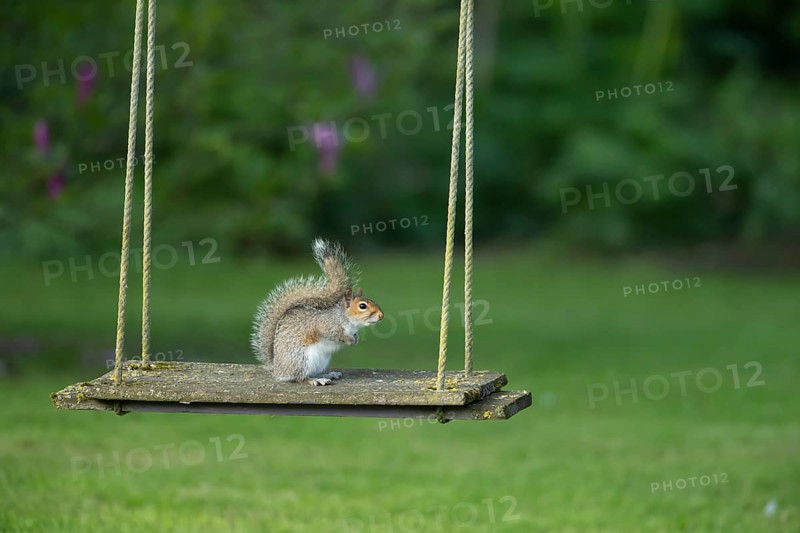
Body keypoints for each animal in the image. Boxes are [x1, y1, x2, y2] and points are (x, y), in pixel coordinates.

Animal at [251, 238, 384, 386]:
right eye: (362, 306)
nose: (381, 315)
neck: (347, 320)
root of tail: (278, 369)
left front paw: (356, 338)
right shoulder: (326, 325)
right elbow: (333, 334)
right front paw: (349, 339)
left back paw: (328, 374)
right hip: (301, 359)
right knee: (300, 377)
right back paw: (315, 380)